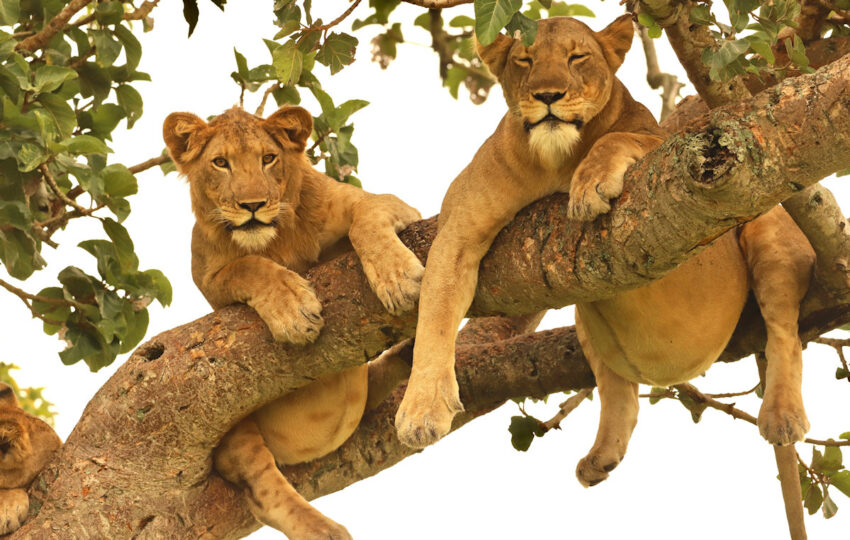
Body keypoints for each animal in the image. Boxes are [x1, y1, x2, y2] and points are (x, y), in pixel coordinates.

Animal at [162, 106, 420, 540]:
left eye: (268, 158)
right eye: (220, 163)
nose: (252, 205)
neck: (275, 239)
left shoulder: (376, 203)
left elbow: (366, 219)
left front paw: (399, 279)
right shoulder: (211, 284)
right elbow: (248, 266)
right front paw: (294, 312)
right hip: (238, 434)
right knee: (264, 493)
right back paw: (326, 531)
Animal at [394, 15, 812, 490]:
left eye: (578, 57)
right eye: (525, 60)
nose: (549, 95)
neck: (555, 160)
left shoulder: (675, 159)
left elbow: (621, 138)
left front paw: (589, 186)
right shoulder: (457, 235)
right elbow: (436, 314)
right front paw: (422, 410)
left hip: (768, 227)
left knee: (784, 332)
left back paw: (782, 415)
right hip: (590, 319)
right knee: (619, 390)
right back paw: (600, 458)